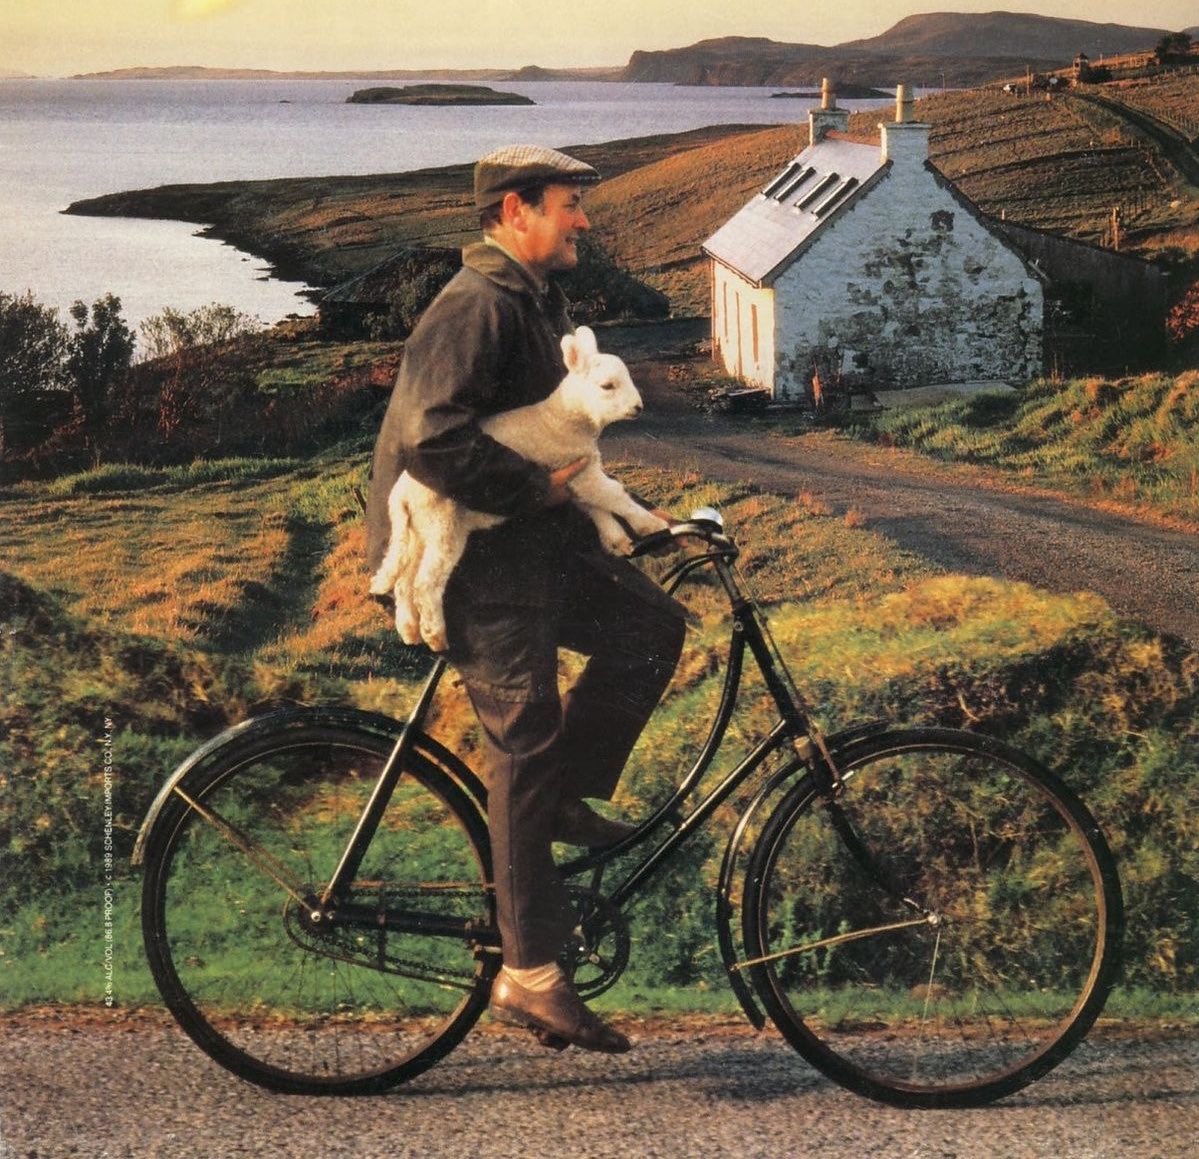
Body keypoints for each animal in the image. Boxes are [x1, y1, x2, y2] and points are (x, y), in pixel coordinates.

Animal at [369, 326, 668, 651]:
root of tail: (400, 496)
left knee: (404, 579)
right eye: (607, 386)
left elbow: (596, 504)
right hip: (441, 523)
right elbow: (614, 495)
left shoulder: (579, 471)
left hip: (417, 529)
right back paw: (436, 636)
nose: (638, 408)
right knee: (425, 583)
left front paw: (616, 539)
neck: (564, 416)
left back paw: (410, 630)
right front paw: (650, 525)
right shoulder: (575, 467)